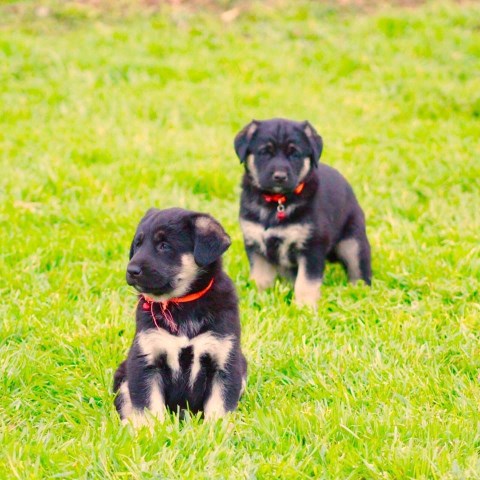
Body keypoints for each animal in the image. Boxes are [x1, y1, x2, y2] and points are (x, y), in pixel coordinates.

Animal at [114, 206, 246, 424]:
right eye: (138, 244)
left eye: (164, 245)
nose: (131, 270)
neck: (182, 304)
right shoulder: (145, 361)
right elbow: (149, 407)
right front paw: (152, 430)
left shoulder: (224, 361)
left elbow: (219, 406)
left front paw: (216, 430)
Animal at [234, 118, 374, 310]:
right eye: (265, 152)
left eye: (295, 154)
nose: (280, 177)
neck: (277, 202)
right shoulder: (255, 244)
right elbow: (260, 277)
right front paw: (259, 299)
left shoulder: (311, 247)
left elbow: (306, 282)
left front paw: (304, 308)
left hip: (353, 243)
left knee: (359, 270)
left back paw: (359, 291)